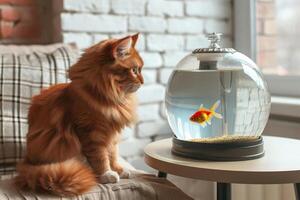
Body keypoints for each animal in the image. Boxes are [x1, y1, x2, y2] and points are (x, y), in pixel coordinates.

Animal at [15, 34, 144, 195]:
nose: (143, 82)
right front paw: (107, 174)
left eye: (140, 69)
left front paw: (120, 170)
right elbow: (101, 158)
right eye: (134, 70)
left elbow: (113, 156)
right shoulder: (92, 134)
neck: (110, 98)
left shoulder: (112, 136)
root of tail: (27, 161)